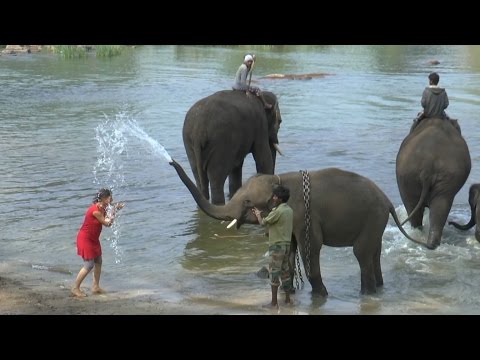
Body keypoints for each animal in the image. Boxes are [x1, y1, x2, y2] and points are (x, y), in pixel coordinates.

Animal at [170, 160, 420, 296]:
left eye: (247, 201)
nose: (171, 161)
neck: (279, 178)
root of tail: (388, 201)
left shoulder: (305, 215)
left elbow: (312, 246)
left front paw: (320, 295)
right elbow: (289, 247)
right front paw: (287, 291)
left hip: (372, 218)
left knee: (361, 253)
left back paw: (365, 294)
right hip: (375, 221)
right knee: (374, 253)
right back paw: (377, 289)